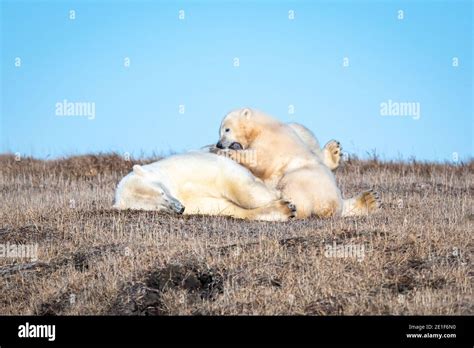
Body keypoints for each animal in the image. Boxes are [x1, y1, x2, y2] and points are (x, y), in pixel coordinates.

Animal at [112, 151, 294, 222]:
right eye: (156, 208)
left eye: (161, 192)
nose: (180, 208)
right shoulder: (196, 205)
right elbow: (226, 208)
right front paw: (285, 209)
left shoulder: (185, 168)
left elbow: (233, 181)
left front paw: (280, 197)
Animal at [217, 107, 380, 219]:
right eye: (220, 131)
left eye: (227, 129)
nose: (219, 144)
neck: (262, 126)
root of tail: (332, 203)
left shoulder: (271, 141)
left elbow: (260, 159)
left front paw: (229, 153)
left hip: (300, 178)